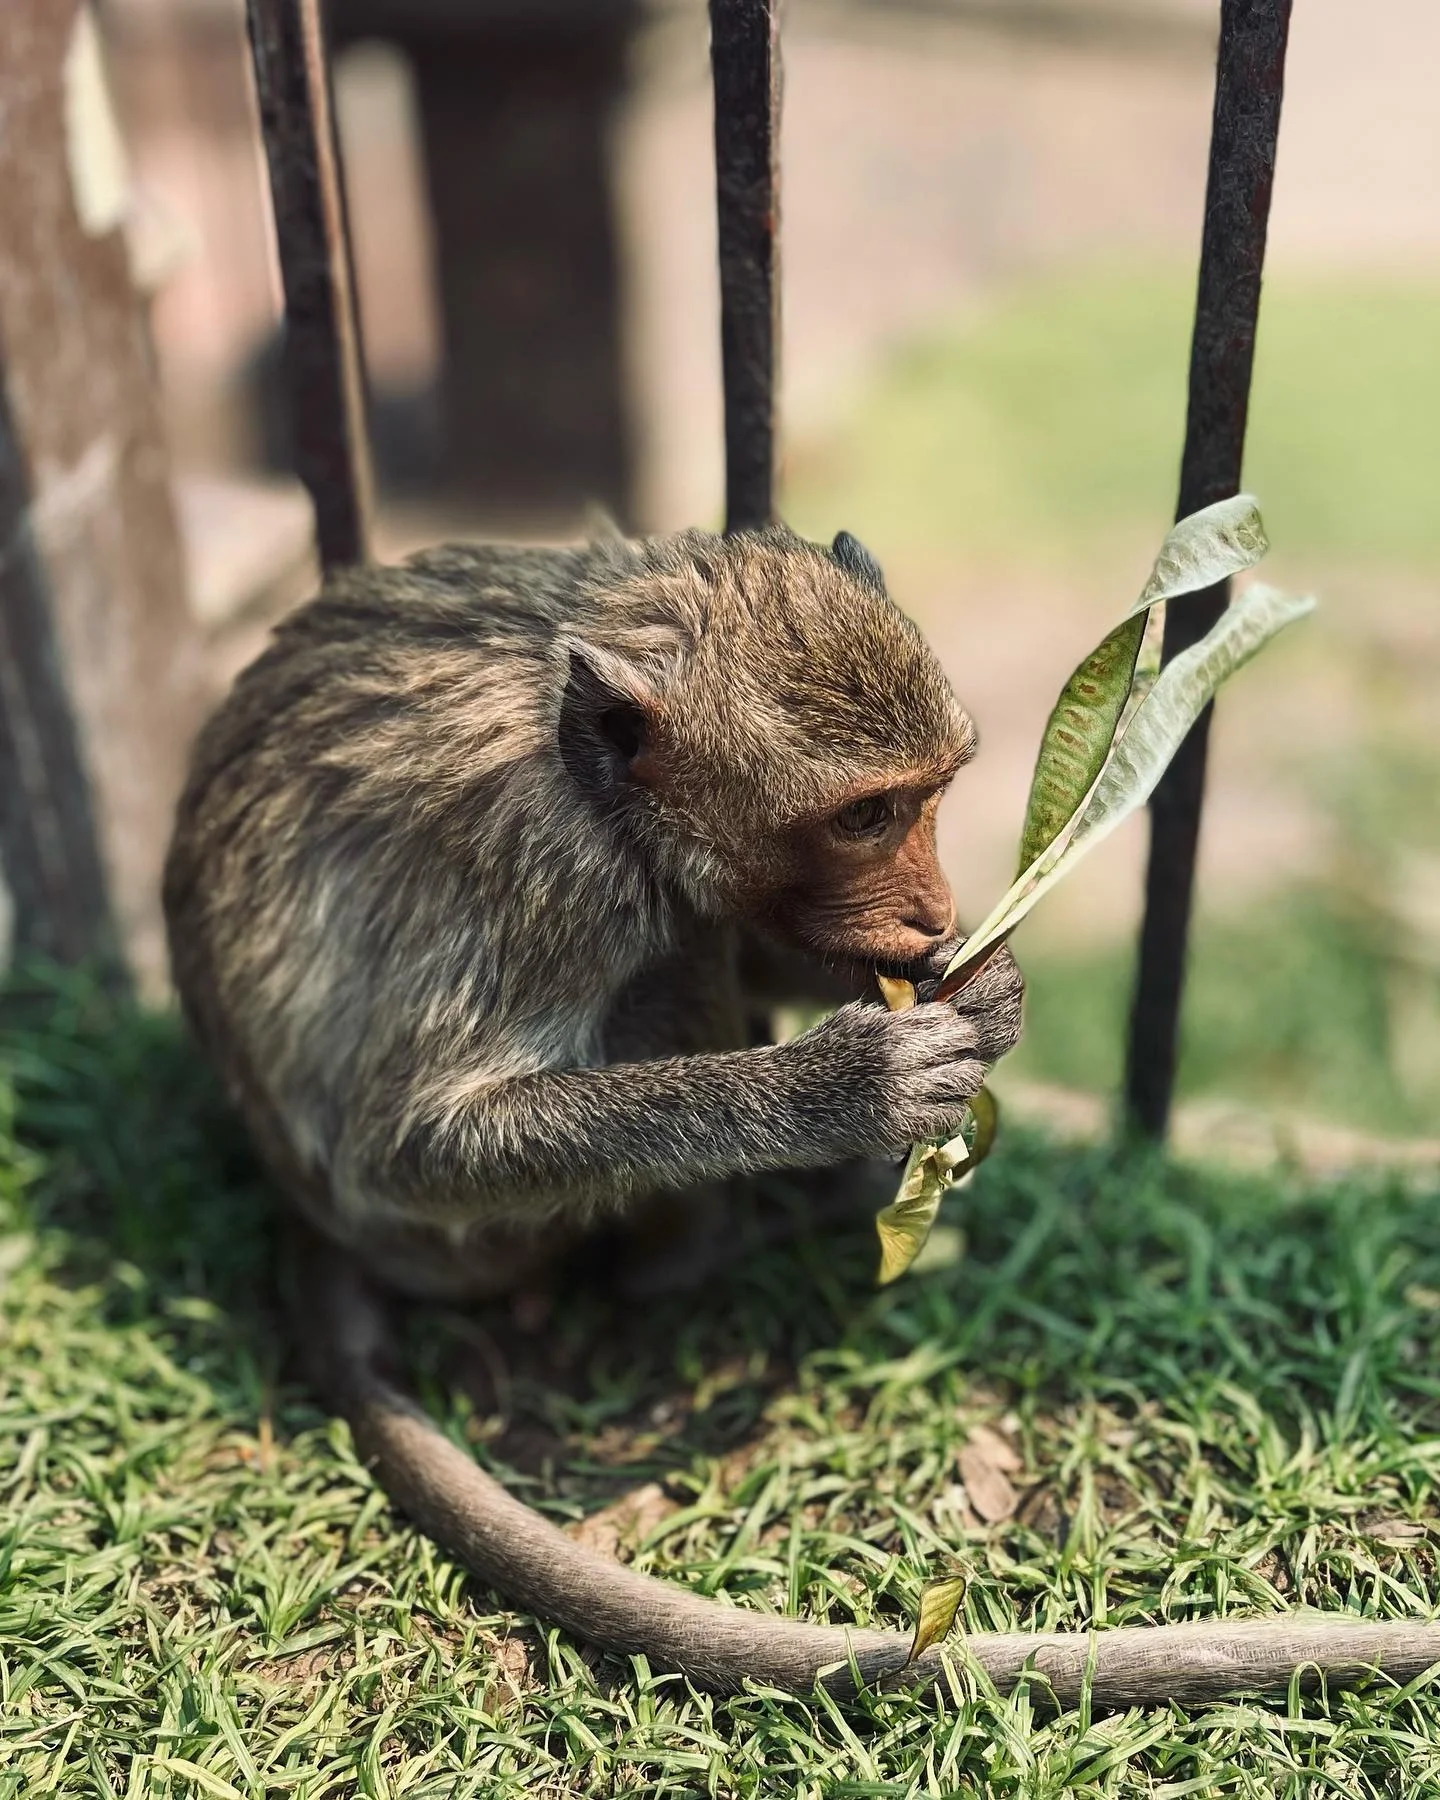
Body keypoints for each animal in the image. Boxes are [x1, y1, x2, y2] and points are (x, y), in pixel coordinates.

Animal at [163, 523, 1440, 1708]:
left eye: (927, 797)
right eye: (865, 817)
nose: (935, 911)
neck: (596, 776)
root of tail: (302, 1219)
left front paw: (975, 982)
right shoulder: (547, 869)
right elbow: (410, 1143)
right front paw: (840, 1091)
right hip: (465, 1244)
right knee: (666, 966)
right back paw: (723, 1240)